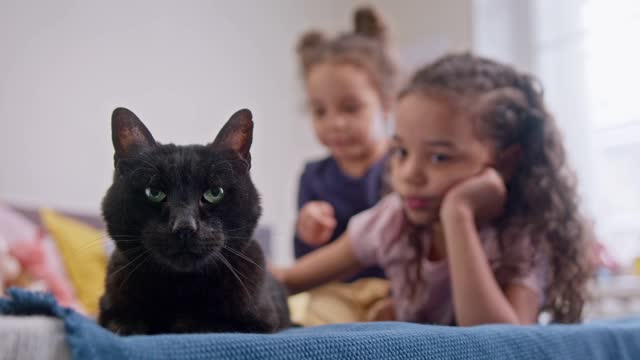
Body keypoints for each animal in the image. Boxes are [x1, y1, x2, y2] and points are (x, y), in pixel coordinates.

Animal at [97, 107, 290, 334]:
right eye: (154, 192)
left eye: (215, 192)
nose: (185, 227)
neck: (181, 289)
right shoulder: (108, 310)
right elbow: (120, 323)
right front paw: (133, 327)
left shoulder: (258, 324)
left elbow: (206, 325)